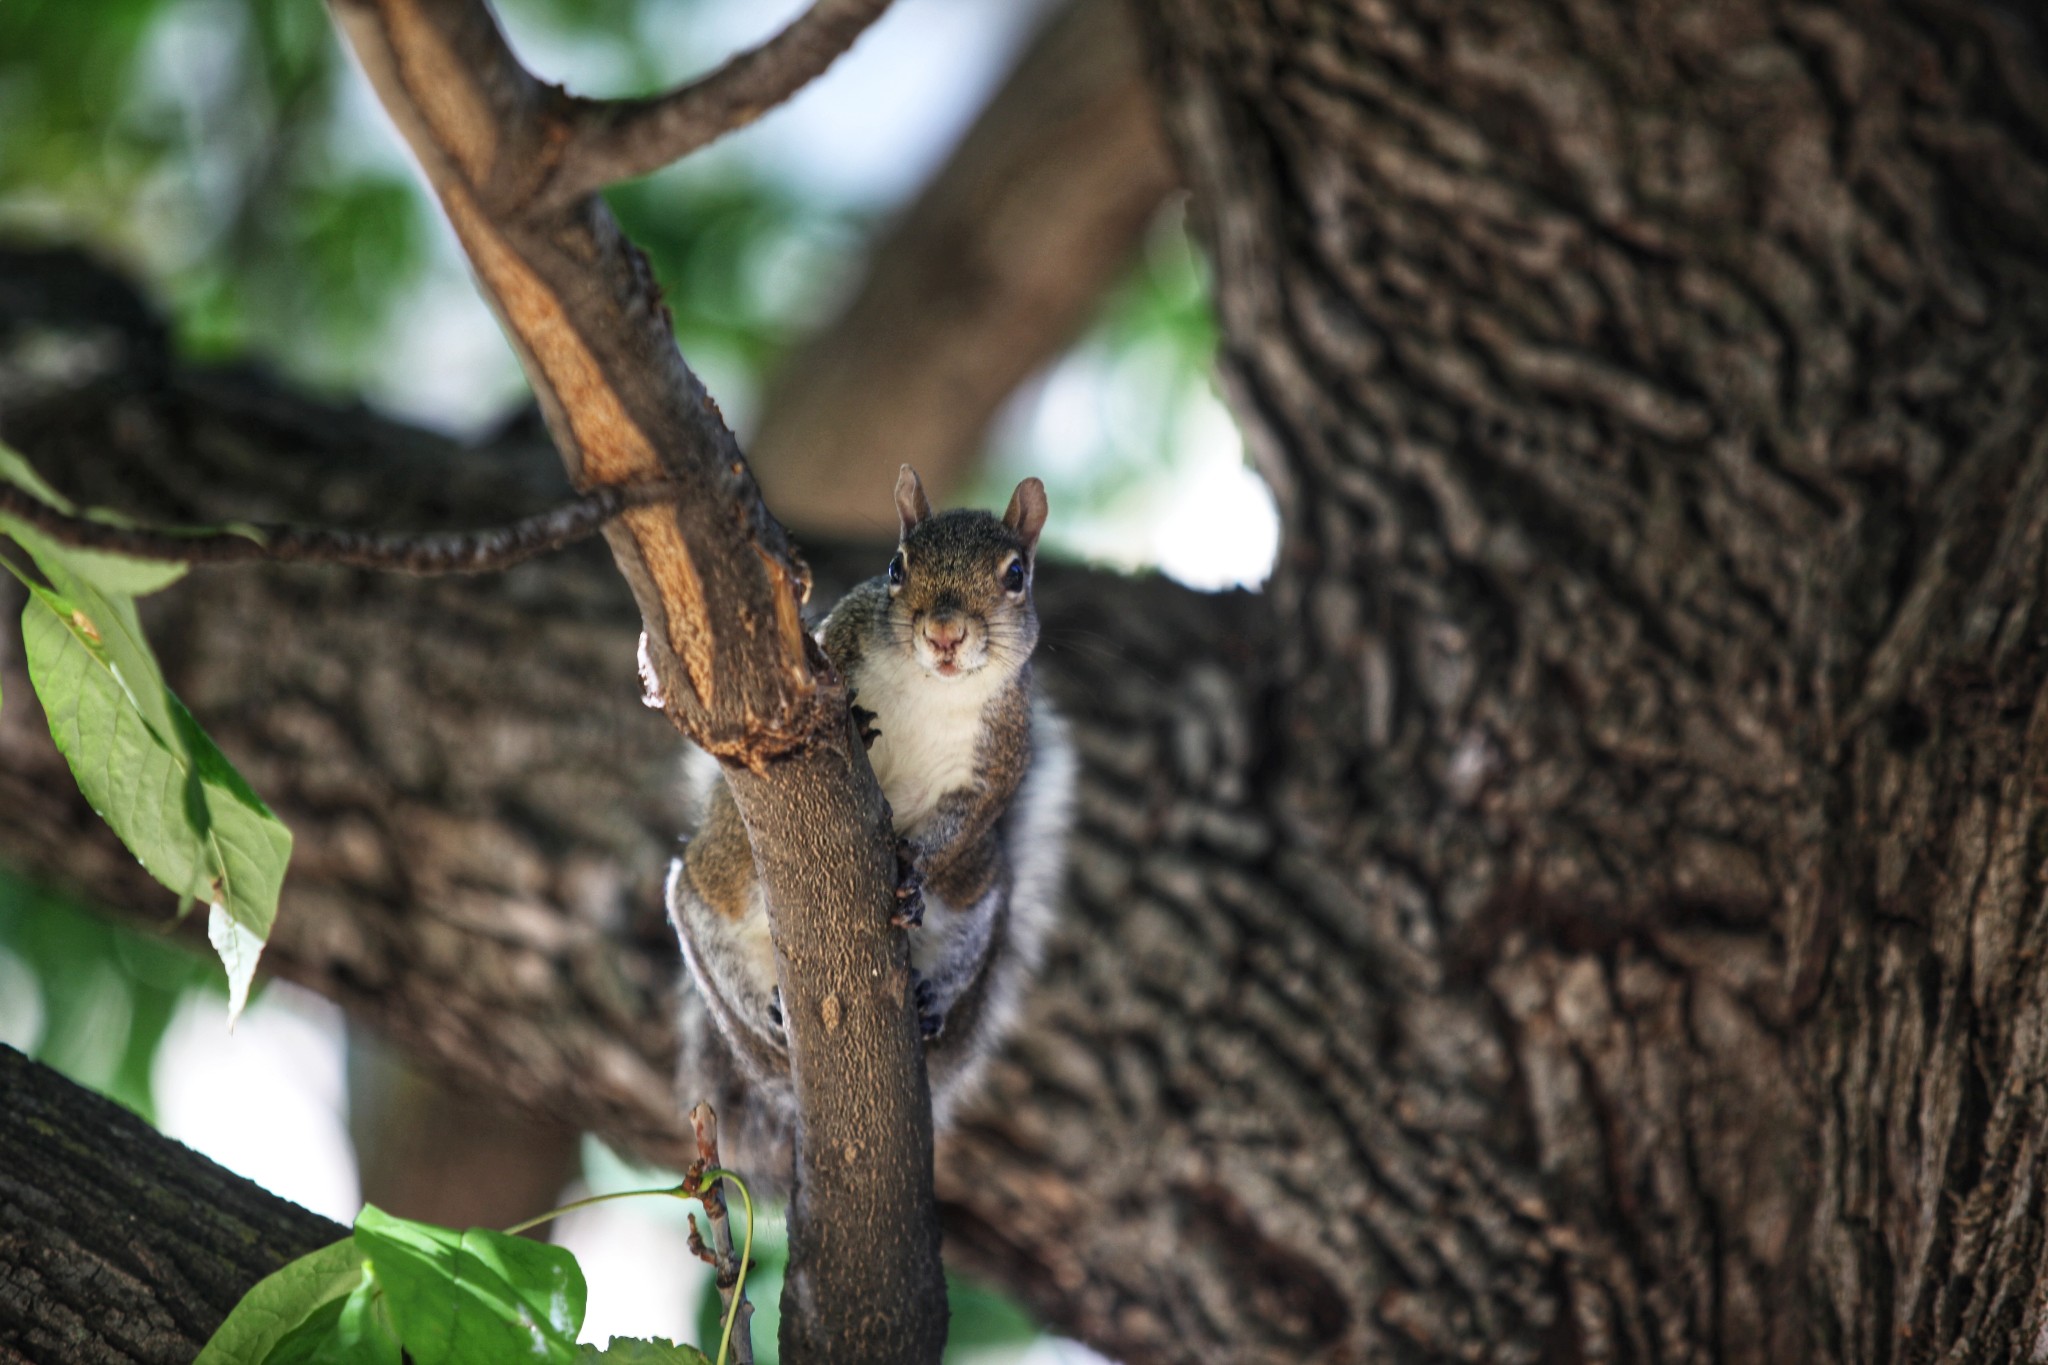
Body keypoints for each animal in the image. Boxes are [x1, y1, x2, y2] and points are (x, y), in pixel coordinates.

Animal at [671, 464, 1081, 1162]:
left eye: (1015, 575)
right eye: (896, 566)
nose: (944, 633)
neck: (931, 688)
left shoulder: (998, 761)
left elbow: (965, 821)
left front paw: (912, 877)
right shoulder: (834, 646)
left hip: (980, 889)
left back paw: (930, 998)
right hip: (717, 876)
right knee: (704, 928)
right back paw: (763, 1007)